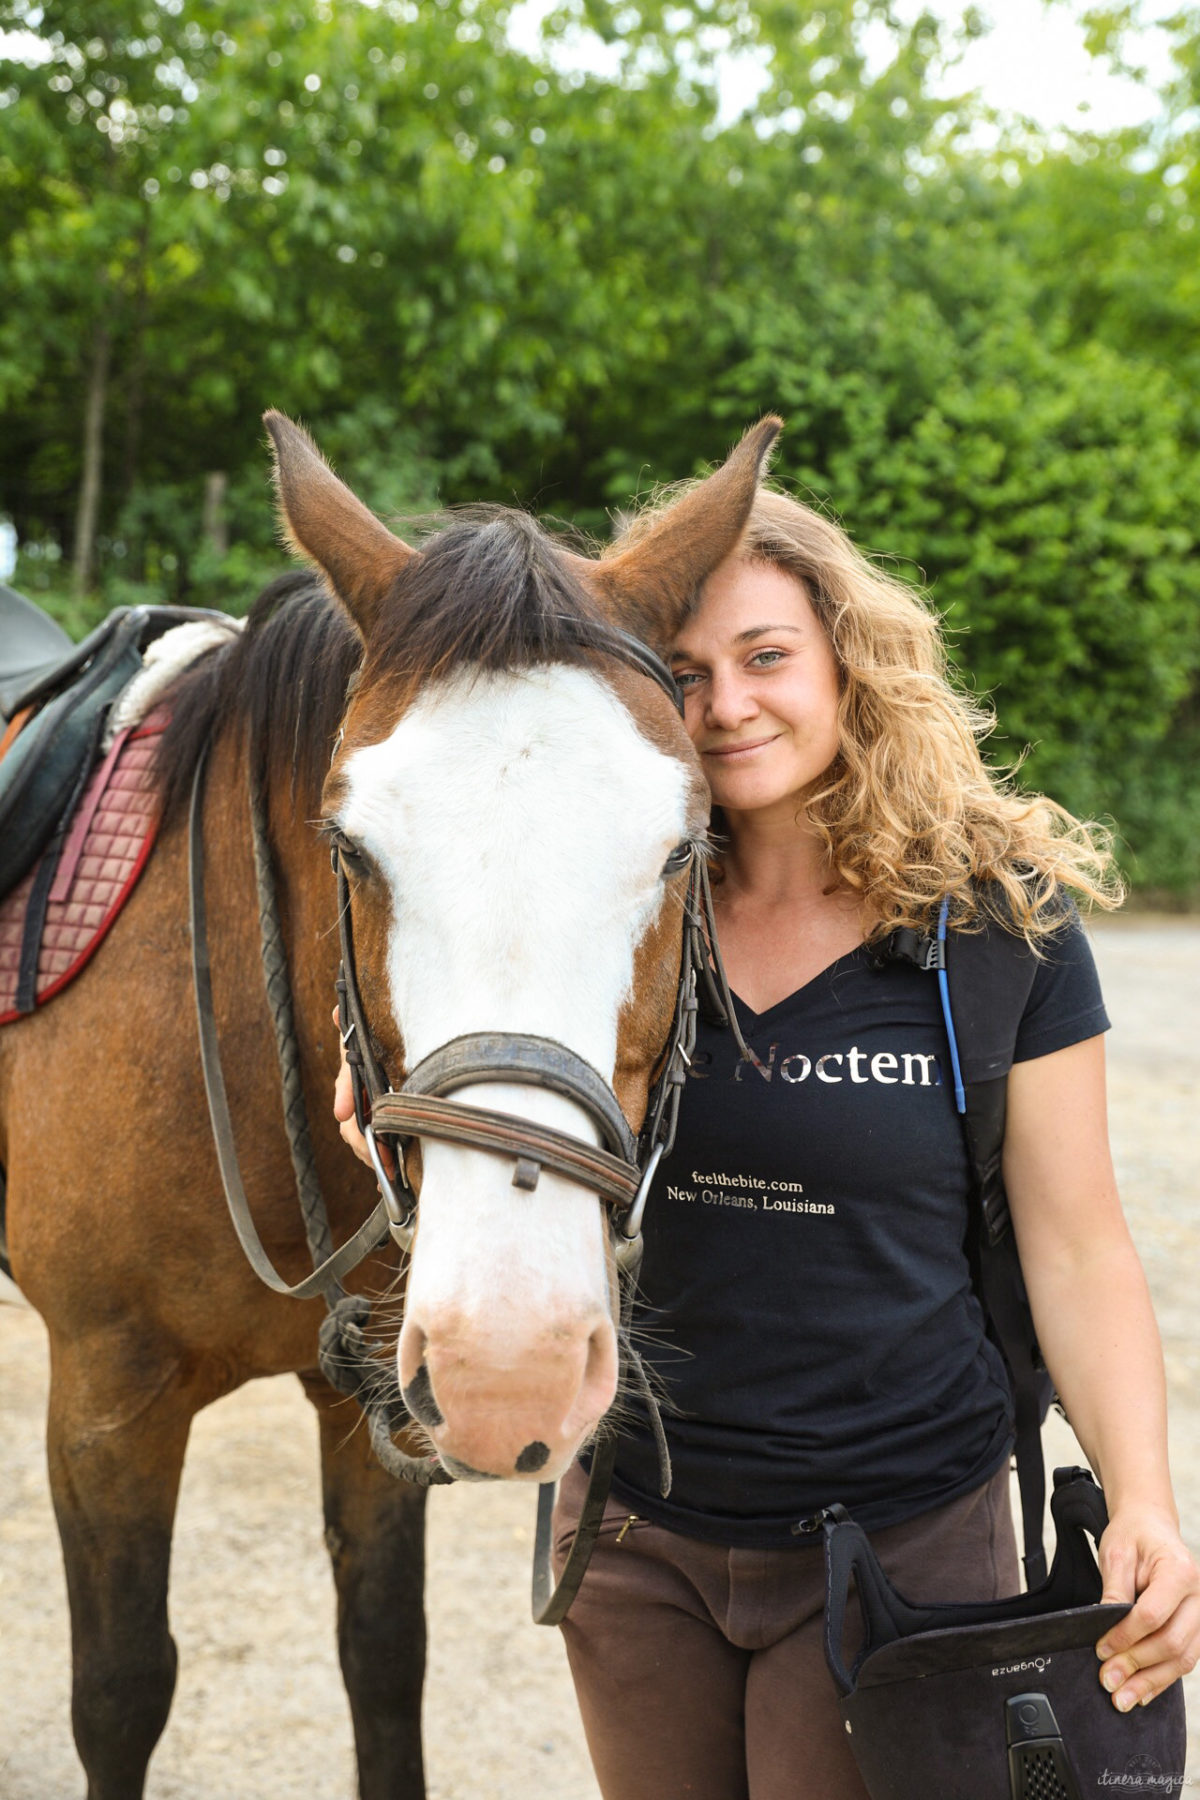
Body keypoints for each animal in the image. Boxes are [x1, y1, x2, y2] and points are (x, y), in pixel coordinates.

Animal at [0, 414, 780, 1792]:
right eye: (350, 850)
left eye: (684, 849)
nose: (516, 1368)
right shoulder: (102, 1402)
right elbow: (122, 1693)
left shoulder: (381, 1400)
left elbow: (382, 1659)